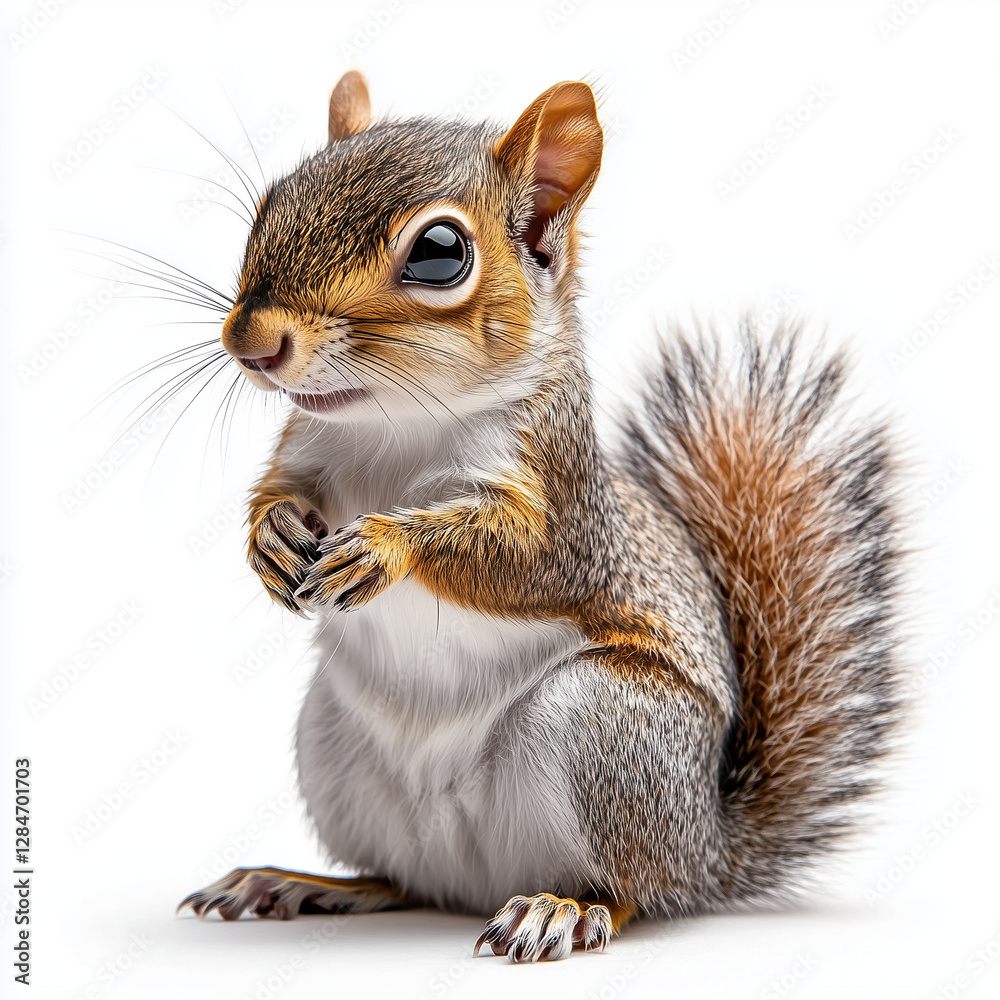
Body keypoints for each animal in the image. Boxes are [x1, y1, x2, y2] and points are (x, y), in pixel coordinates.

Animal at [179, 71, 903, 963]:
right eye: (273, 201)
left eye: (440, 252)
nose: (252, 342)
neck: (393, 425)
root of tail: (706, 849)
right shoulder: (305, 448)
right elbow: (275, 492)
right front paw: (270, 539)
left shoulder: (567, 507)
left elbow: (528, 563)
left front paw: (386, 545)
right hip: (335, 750)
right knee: (403, 880)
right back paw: (297, 883)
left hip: (606, 731)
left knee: (636, 890)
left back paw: (562, 909)